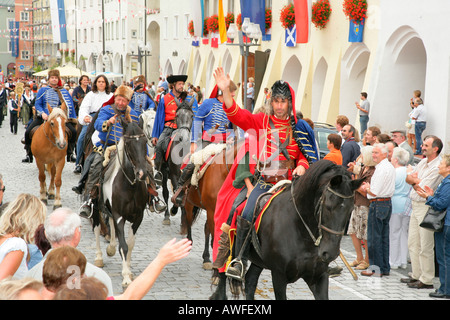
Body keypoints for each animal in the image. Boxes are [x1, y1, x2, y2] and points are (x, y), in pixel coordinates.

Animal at [90, 118, 149, 288]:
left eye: (145, 142)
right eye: (128, 143)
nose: (142, 173)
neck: (130, 185)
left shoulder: (137, 217)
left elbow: (130, 244)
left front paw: (129, 271)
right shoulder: (119, 216)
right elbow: (124, 246)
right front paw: (126, 278)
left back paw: (110, 247)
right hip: (96, 207)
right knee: (97, 228)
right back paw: (99, 257)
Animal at [160, 94, 193, 225]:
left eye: (192, 116)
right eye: (177, 115)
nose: (184, 137)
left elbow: (182, 195)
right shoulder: (174, 175)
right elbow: (176, 194)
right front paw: (174, 210)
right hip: (164, 174)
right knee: (166, 192)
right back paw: (167, 215)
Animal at [213, 160, 364, 300]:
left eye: (351, 209)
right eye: (328, 206)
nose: (330, 253)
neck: (301, 231)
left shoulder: (319, 277)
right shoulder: (279, 276)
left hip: (258, 260)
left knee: (250, 281)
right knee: (222, 271)